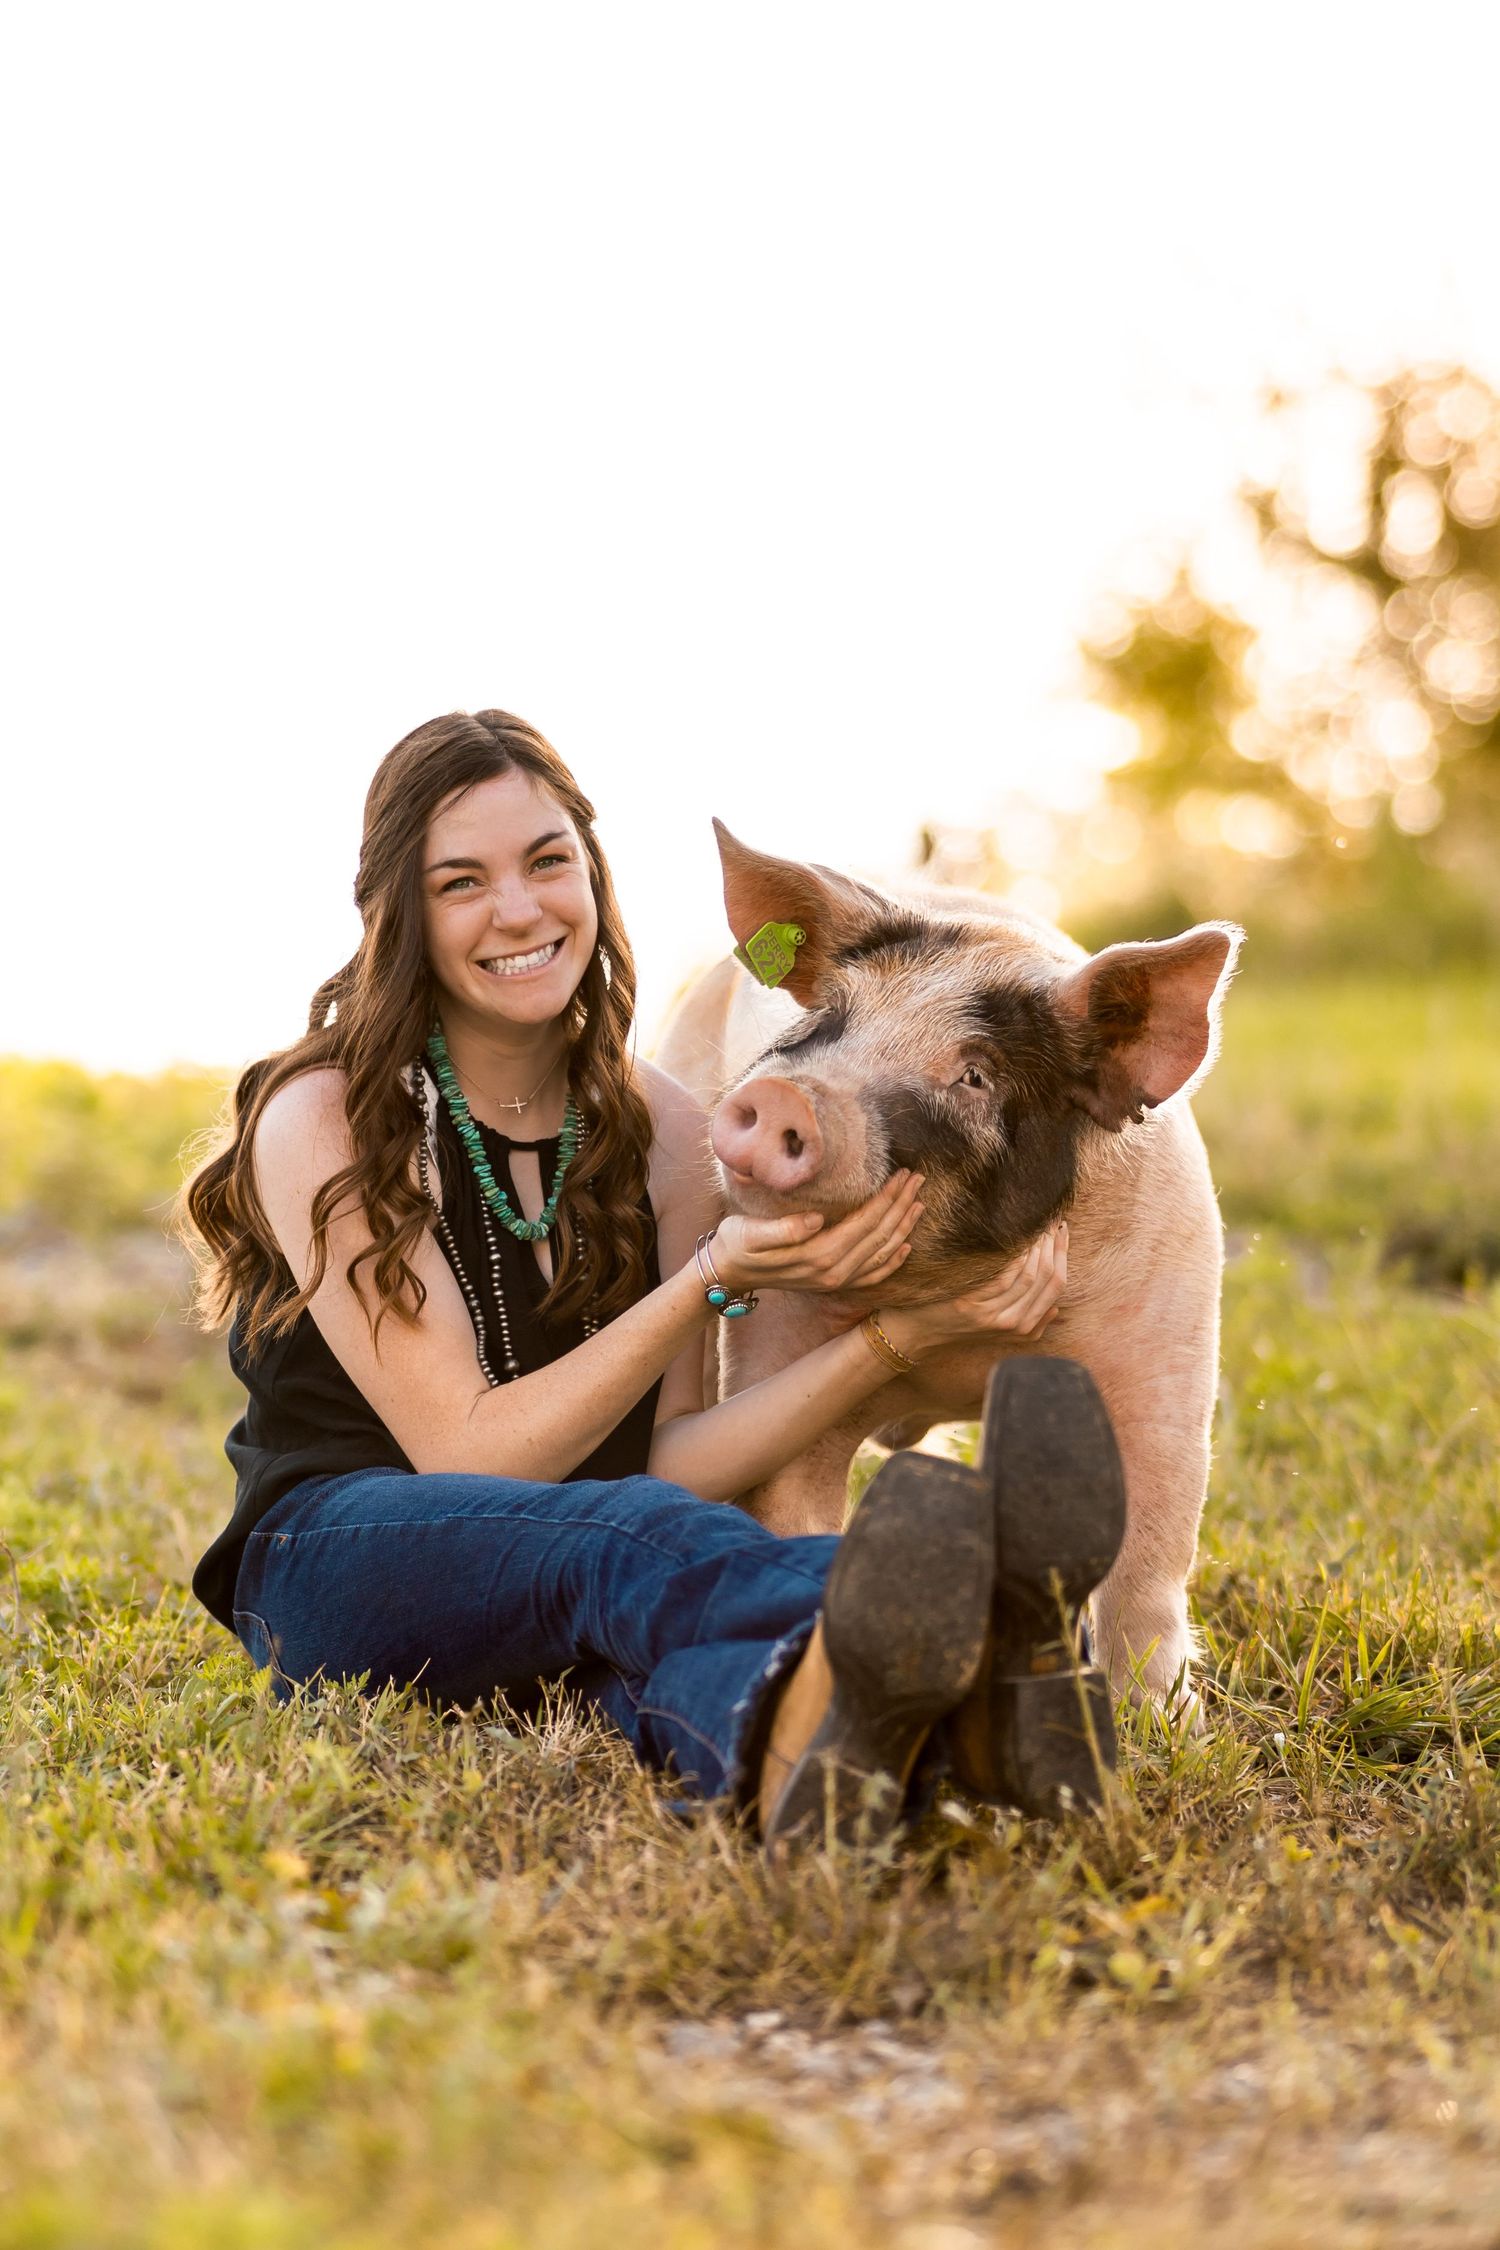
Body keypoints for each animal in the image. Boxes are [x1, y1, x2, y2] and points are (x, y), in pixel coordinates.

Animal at [655, 823, 1243, 1705]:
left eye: (975, 1075)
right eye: (829, 1019)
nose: (787, 1096)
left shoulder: (1168, 1360)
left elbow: (1149, 1562)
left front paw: (1156, 1721)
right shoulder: (776, 1350)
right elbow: (792, 1509)